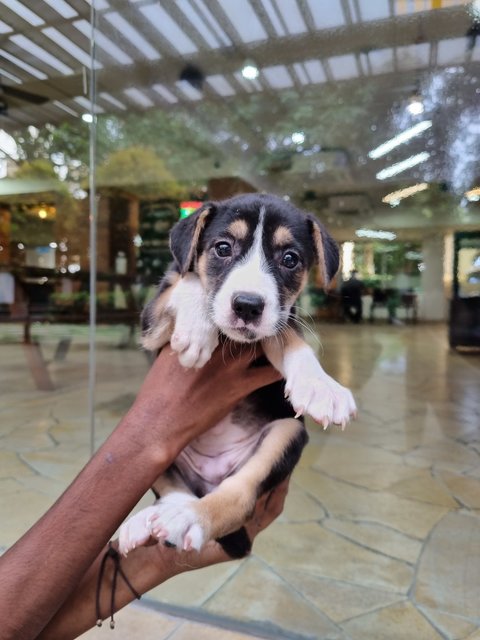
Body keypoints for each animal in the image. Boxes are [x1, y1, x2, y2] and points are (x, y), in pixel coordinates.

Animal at [117, 192, 354, 556]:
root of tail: (210, 476)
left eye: (290, 259)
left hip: (286, 433)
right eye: (223, 248)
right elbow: (188, 279)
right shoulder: (151, 322)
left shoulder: (279, 319)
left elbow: (292, 339)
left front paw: (320, 387)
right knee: (175, 488)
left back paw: (185, 518)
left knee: (237, 496)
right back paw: (152, 520)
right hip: (155, 449)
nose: (247, 305)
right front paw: (197, 331)